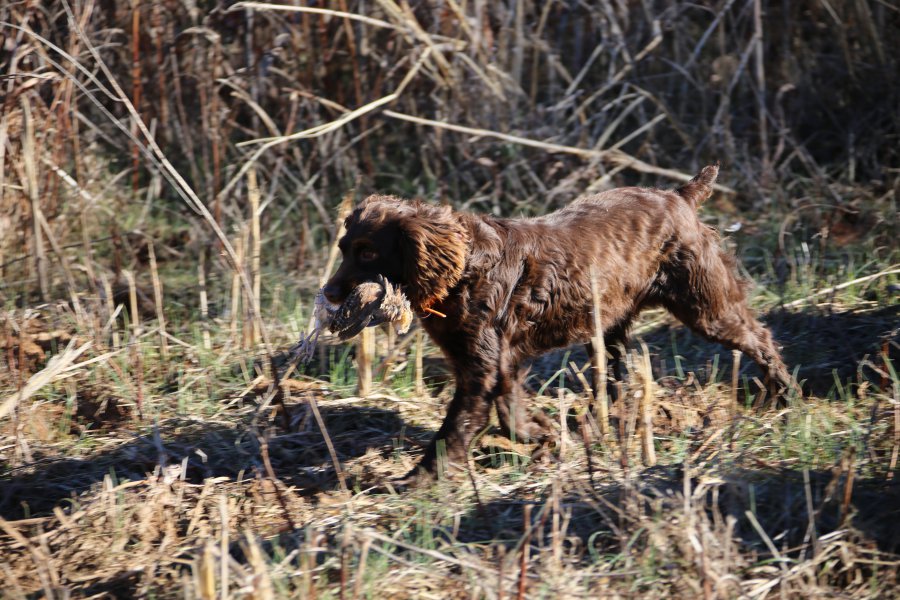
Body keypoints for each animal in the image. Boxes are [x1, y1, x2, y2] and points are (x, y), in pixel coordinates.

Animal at [326, 165, 796, 482]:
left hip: (705, 307)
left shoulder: (482, 368)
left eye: (368, 252)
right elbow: (510, 416)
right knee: (615, 378)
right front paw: (543, 434)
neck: (464, 269)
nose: (329, 293)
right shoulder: (502, 365)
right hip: (609, 326)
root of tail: (681, 196)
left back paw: (783, 396)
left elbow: (454, 430)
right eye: (344, 248)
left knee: (761, 337)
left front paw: (417, 480)